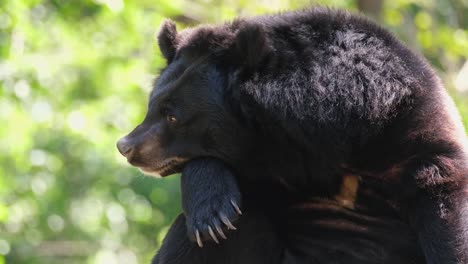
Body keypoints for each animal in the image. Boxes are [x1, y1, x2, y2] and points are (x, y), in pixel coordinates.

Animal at [117, 7, 468, 262]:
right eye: (152, 105)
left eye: (173, 115)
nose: (126, 146)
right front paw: (212, 212)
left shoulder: (413, 138)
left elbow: (447, 212)